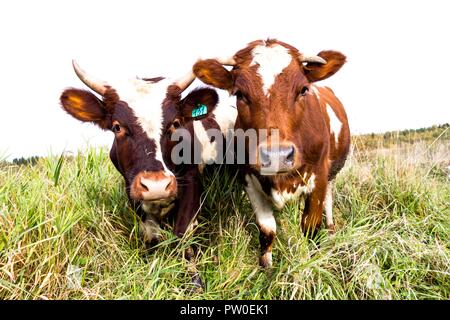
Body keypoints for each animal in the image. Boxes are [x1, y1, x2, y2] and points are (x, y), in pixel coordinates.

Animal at [60, 60, 237, 268]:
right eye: (117, 127)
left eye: (175, 124)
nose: (156, 185)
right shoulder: (131, 188)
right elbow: (151, 234)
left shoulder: (192, 181)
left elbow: (182, 234)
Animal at [193, 38, 352, 268]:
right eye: (239, 94)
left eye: (303, 90)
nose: (277, 156)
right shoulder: (248, 179)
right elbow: (267, 230)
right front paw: (266, 267)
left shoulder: (319, 177)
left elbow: (310, 227)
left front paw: (313, 261)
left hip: (332, 174)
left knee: (329, 200)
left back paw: (331, 229)